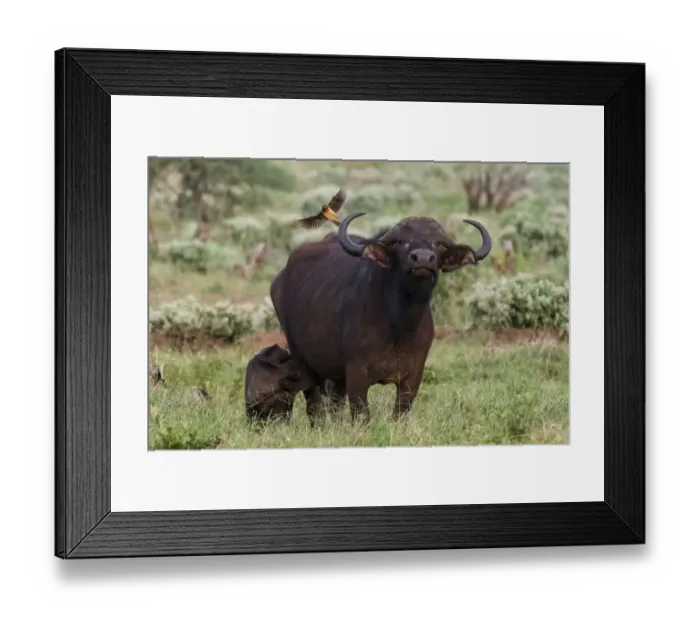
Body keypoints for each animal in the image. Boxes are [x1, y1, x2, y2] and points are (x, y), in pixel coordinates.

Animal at [270, 205, 492, 424]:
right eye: (402, 241)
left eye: (437, 243)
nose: (422, 258)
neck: (400, 324)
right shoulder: (356, 371)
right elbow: (361, 414)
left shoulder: (413, 375)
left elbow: (401, 412)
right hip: (301, 359)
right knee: (314, 405)